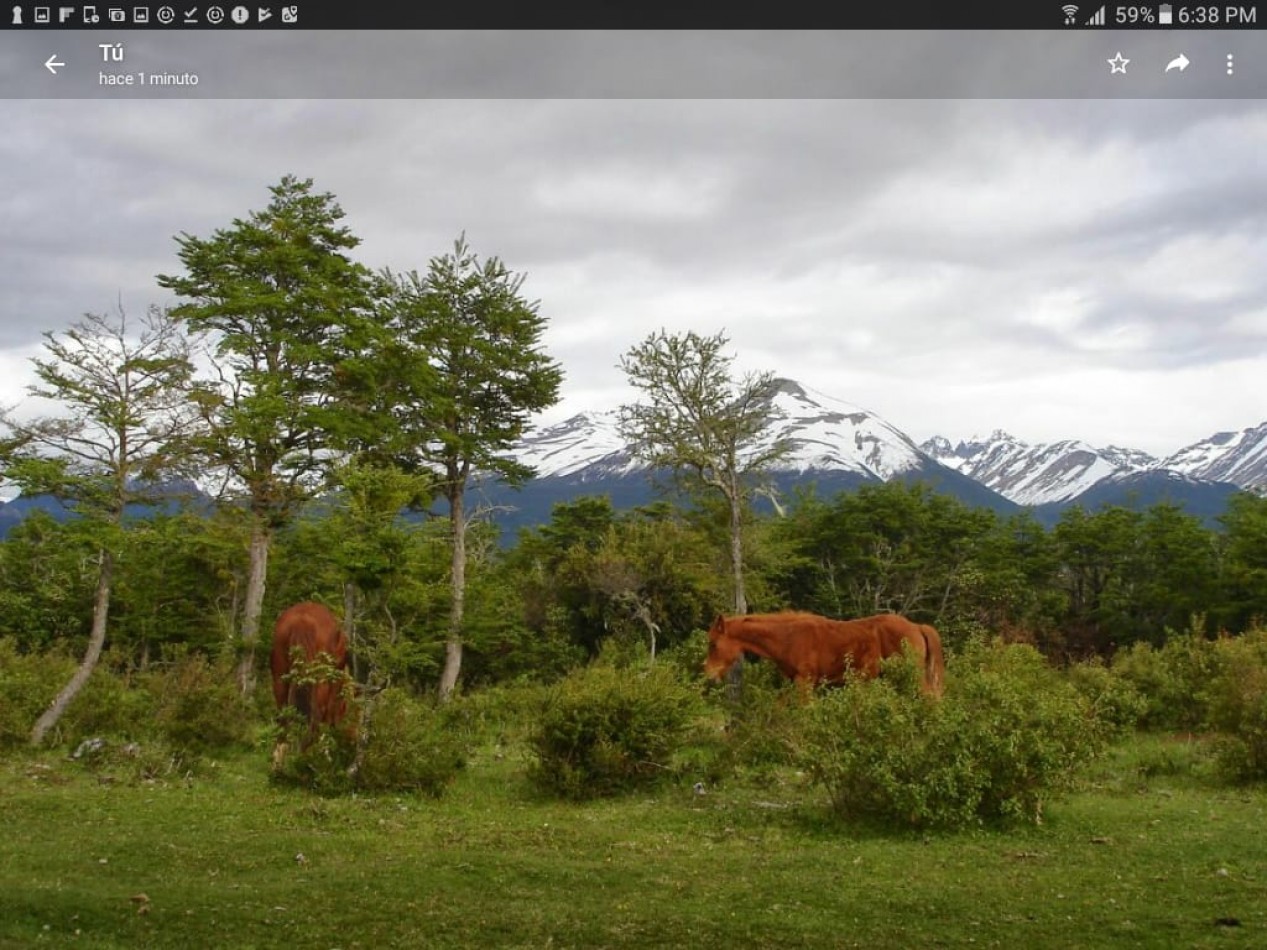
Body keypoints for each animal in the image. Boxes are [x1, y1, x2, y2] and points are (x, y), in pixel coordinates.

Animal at [269, 602, 352, 765]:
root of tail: (302, 621)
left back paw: (279, 761)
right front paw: (325, 752)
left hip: (280, 675)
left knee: (283, 715)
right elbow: (328, 712)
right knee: (317, 714)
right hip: (321, 678)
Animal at [704, 613, 942, 694]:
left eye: (713, 644)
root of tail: (916, 626)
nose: (708, 674)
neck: (789, 638)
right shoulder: (795, 682)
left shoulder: (805, 681)